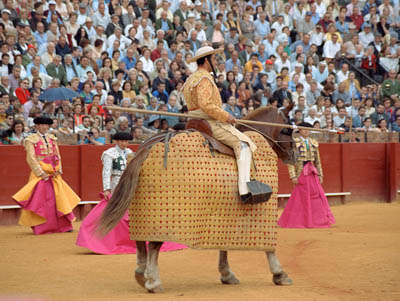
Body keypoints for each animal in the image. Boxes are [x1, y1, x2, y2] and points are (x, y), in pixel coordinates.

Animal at [98, 105, 298, 290]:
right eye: (288, 129)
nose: (295, 155)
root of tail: (148, 148)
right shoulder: (263, 211)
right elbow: (269, 246)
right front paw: (280, 274)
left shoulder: (226, 214)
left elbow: (224, 243)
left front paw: (227, 274)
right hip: (166, 213)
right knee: (154, 244)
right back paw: (153, 281)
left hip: (141, 207)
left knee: (140, 240)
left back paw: (141, 274)